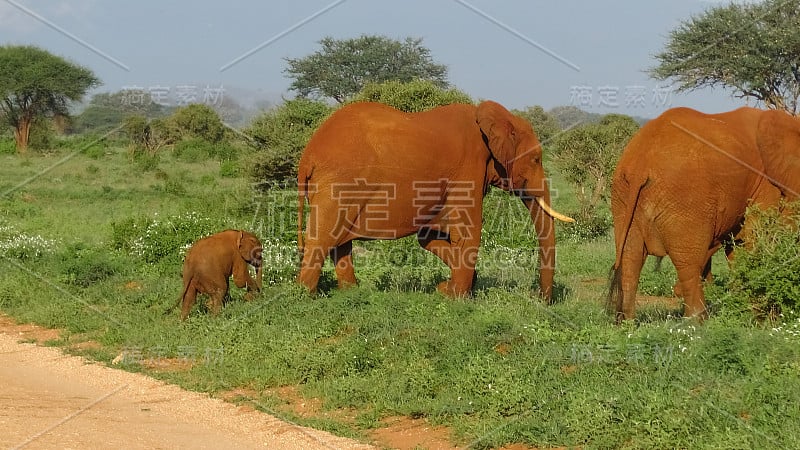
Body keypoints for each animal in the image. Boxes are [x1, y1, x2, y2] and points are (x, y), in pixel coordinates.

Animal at [296, 100, 572, 300]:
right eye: (536, 159)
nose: (540, 299)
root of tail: (308, 155)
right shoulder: (469, 167)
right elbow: (469, 232)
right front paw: (457, 298)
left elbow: (428, 237)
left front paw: (446, 288)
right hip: (339, 184)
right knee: (322, 238)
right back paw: (306, 296)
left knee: (339, 242)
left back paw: (351, 292)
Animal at [608, 107, 796, 322]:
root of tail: (640, 164)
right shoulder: (765, 183)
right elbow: (754, 237)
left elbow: (738, 245)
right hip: (686, 200)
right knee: (689, 262)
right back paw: (698, 322)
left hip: (622, 196)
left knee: (632, 257)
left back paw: (628, 323)